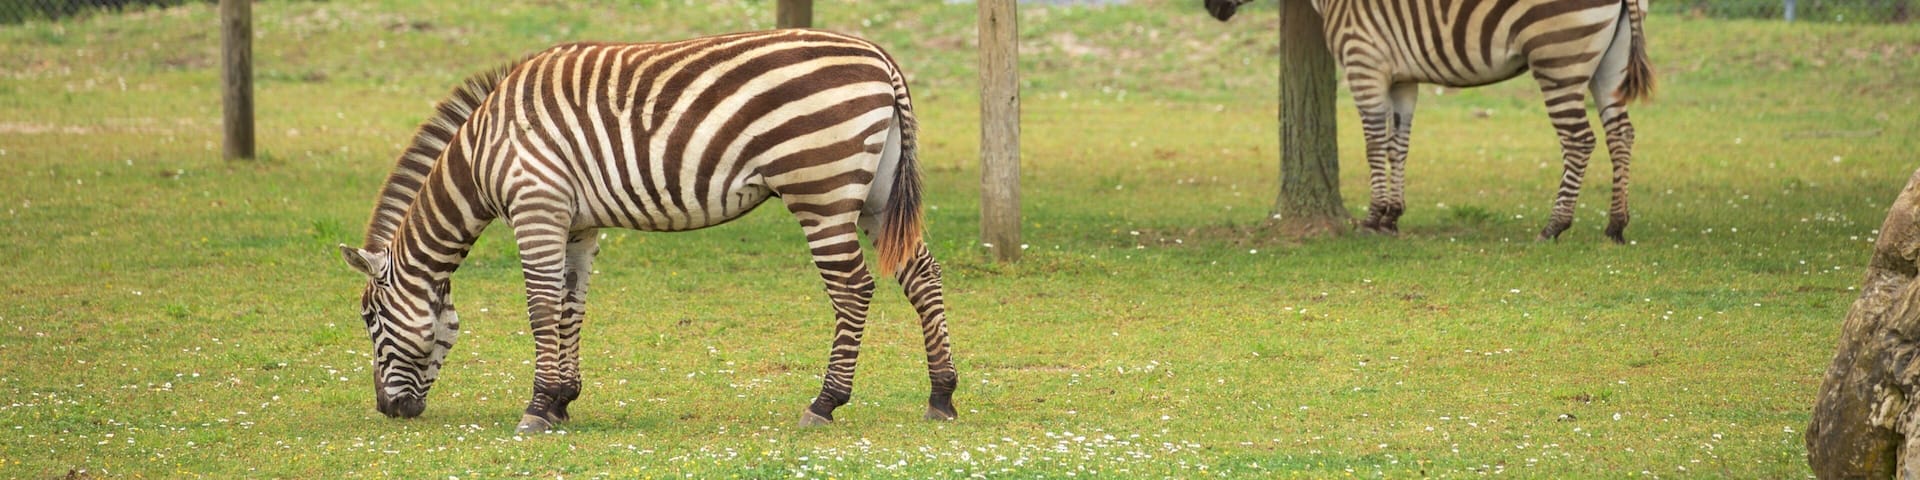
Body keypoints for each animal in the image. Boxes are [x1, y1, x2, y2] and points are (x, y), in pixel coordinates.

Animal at [336, 29, 957, 433]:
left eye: (370, 320)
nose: (388, 411)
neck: (485, 149)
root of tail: (880, 57)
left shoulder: (538, 207)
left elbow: (541, 307)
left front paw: (536, 410)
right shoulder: (578, 225)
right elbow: (571, 308)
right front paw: (562, 401)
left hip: (821, 193)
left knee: (854, 289)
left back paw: (825, 403)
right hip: (875, 193)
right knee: (922, 275)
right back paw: (942, 395)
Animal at [1205, 0, 1654, 242]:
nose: (1212, 9)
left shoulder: (1364, 65)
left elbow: (1373, 145)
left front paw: (1372, 218)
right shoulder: (1403, 79)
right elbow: (1397, 145)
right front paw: (1392, 216)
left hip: (1558, 58)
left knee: (1579, 141)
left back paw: (1554, 226)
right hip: (1608, 64)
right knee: (1622, 134)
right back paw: (1616, 225)